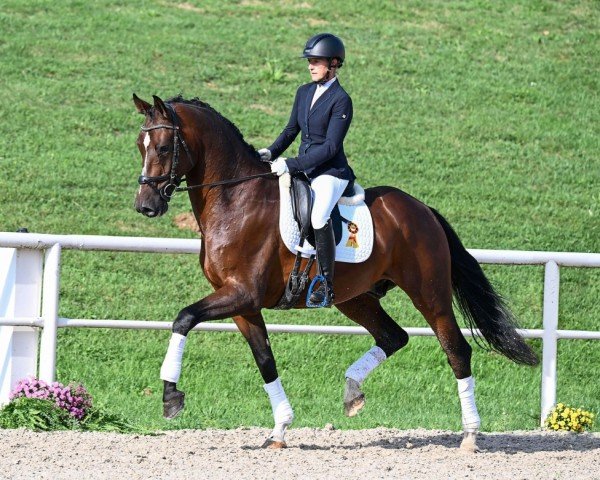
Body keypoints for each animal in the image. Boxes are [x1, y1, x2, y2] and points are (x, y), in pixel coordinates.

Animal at [132, 93, 540, 450]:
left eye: (164, 148)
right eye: (141, 145)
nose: (146, 205)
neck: (236, 199)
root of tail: (422, 209)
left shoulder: (242, 294)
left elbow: (184, 318)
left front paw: (171, 396)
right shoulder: (243, 305)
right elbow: (265, 360)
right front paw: (279, 430)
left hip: (430, 294)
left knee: (456, 350)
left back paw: (470, 435)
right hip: (355, 297)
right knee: (393, 337)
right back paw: (352, 392)